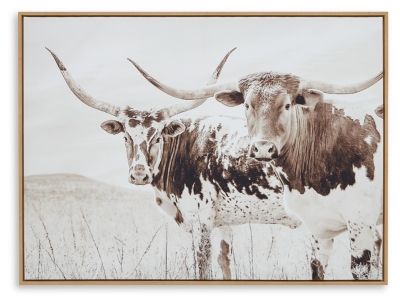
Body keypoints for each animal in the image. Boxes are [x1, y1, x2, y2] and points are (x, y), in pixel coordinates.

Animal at [47, 48, 302, 280]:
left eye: (158, 137)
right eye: (126, 137)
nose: (139, 174)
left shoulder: (201, 222)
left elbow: (203, 268)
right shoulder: (223, 223)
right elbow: (225, 263)